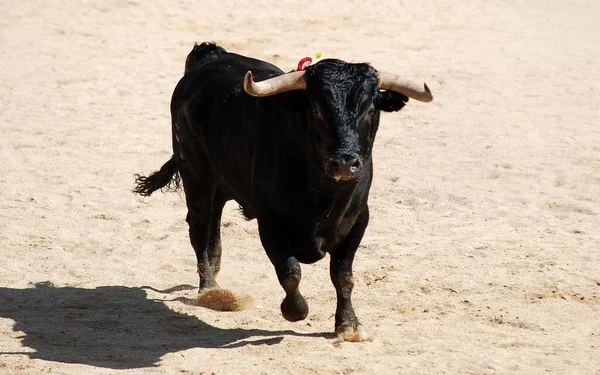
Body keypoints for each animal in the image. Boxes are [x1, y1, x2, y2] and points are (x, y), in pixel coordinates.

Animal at [135, 42, 432, 342]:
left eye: (371, 109)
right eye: (316, 109)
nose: (345, 162)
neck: (324, 195)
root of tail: (210, 55)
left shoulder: (358, 219)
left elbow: (342, 275)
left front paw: (348, 325)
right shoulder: (270, 221)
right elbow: (290, 271)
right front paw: (295, 310)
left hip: (223, 179)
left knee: (214, 219)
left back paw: (215, 271)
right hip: (196, 173)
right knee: (198, 227)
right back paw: (211, 289)